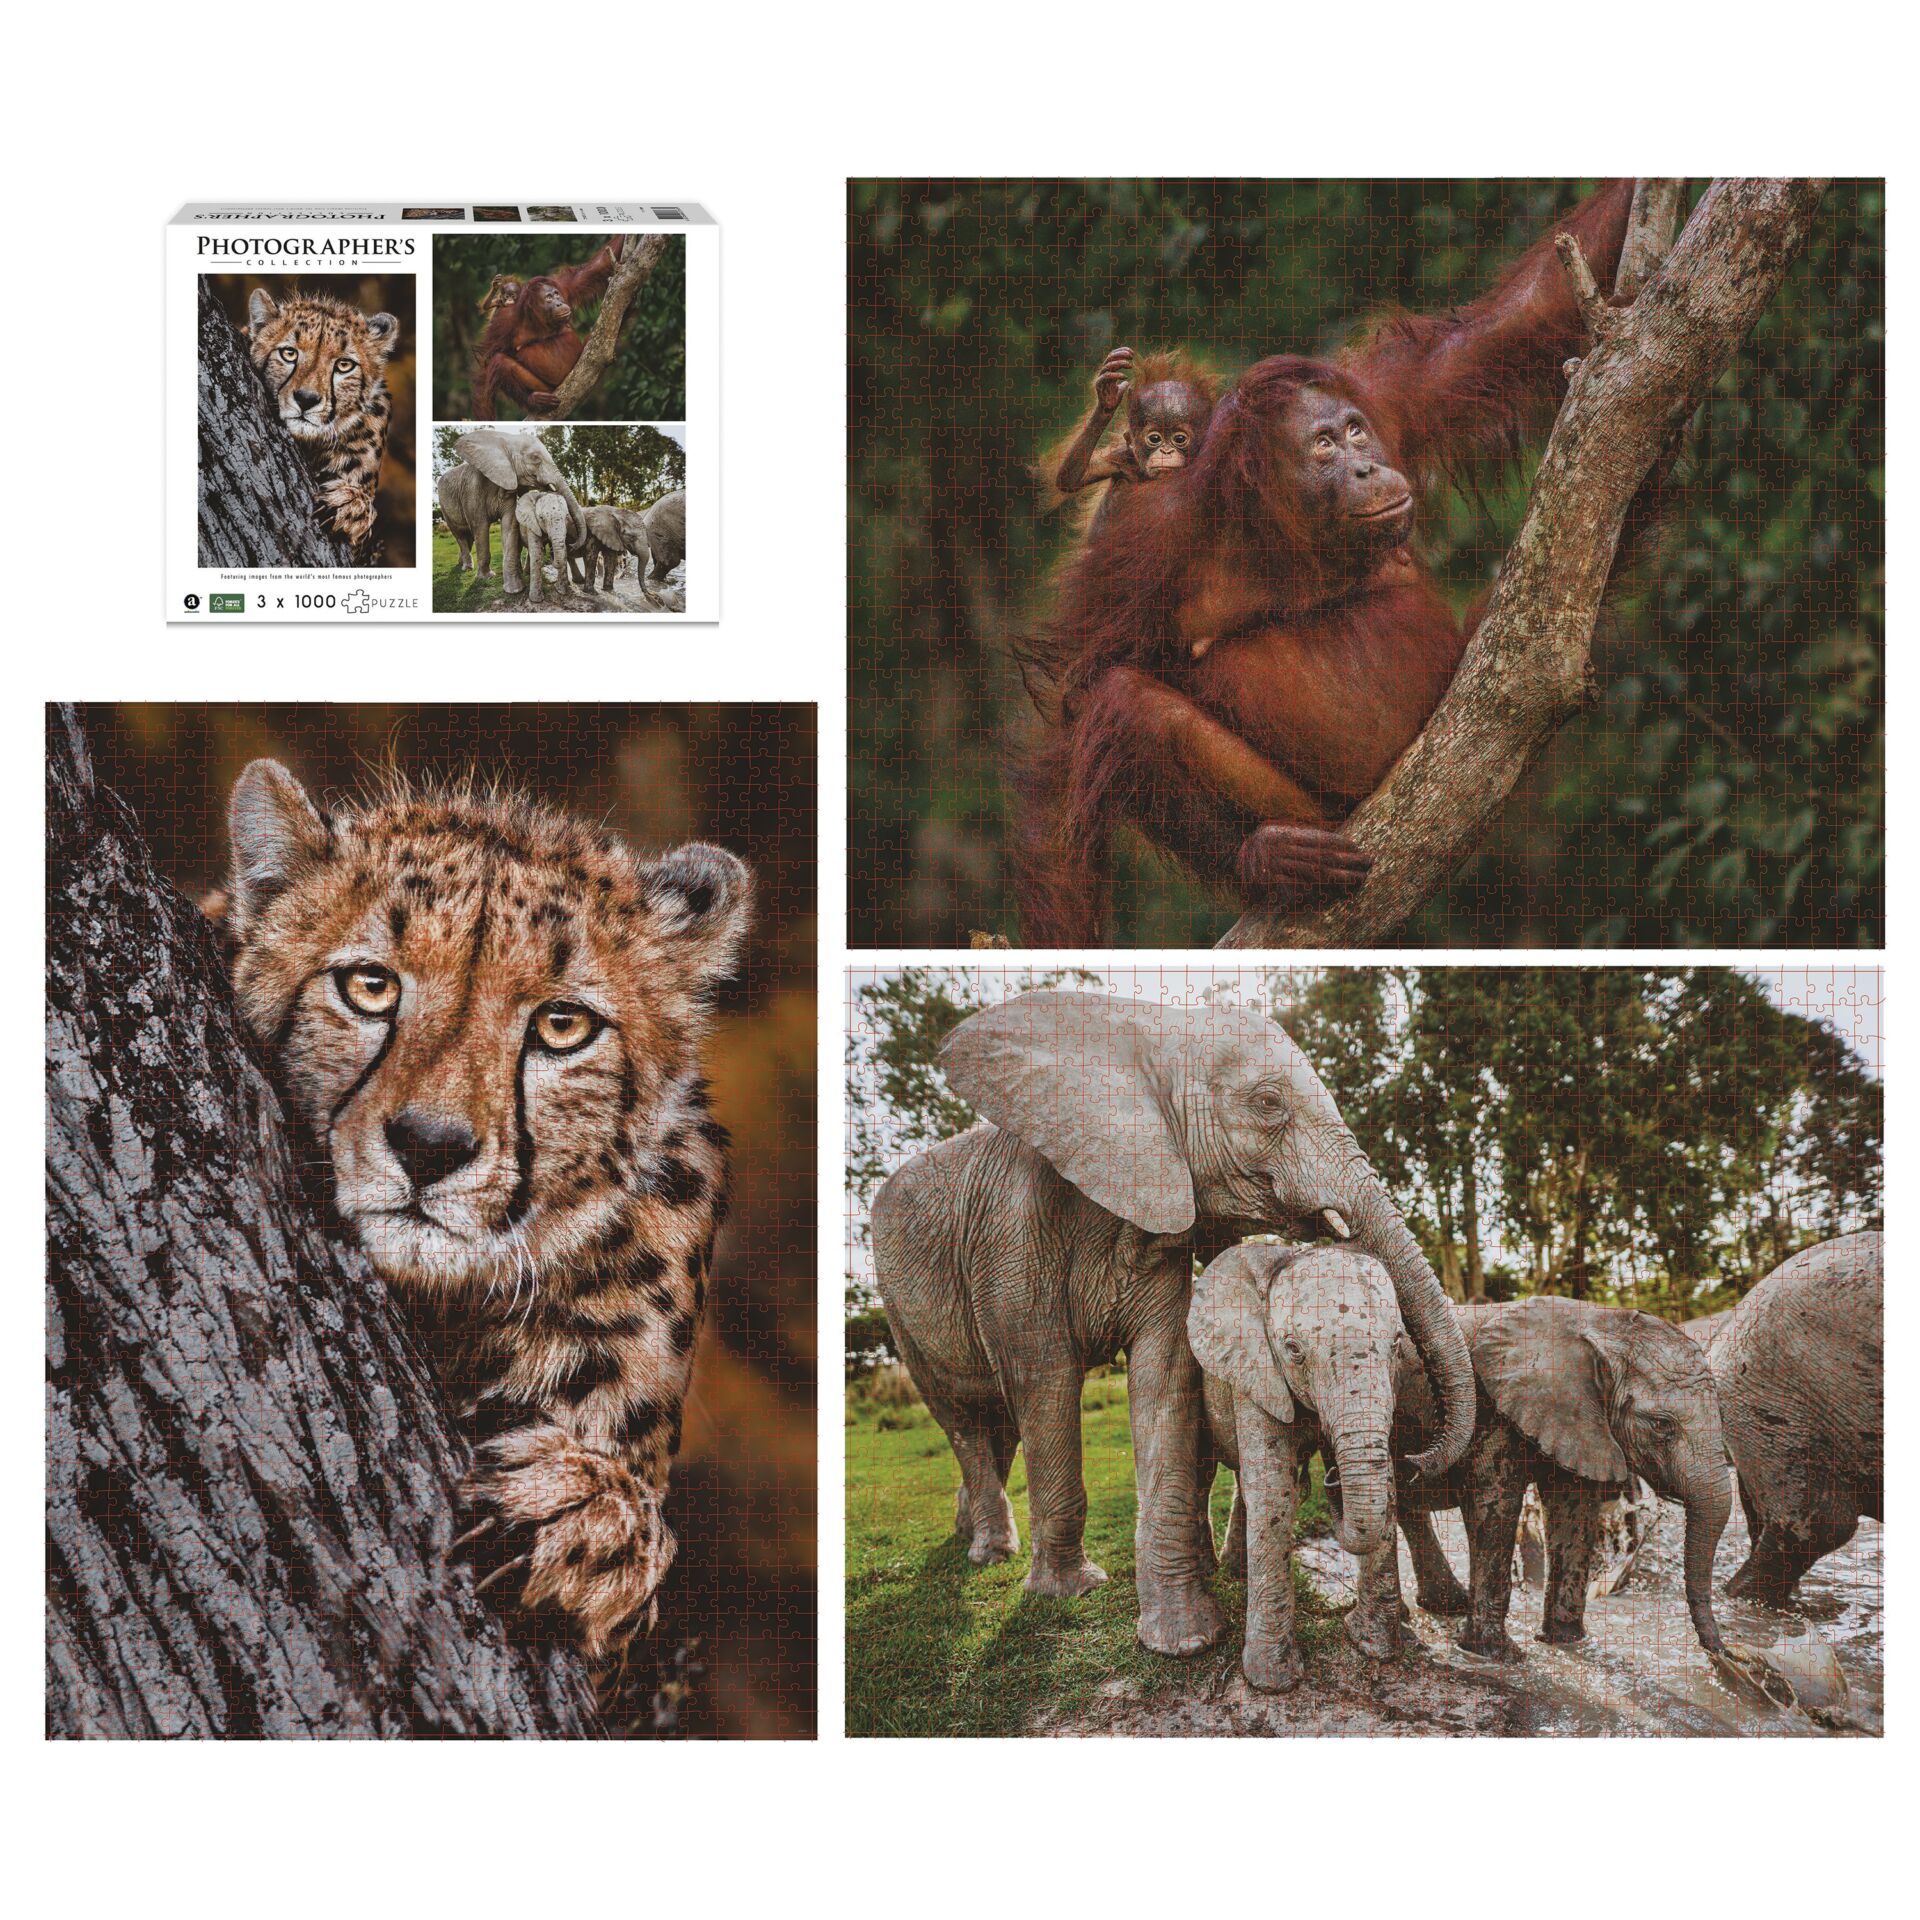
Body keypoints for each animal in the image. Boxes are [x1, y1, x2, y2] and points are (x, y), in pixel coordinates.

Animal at [435, 427, 586, 594]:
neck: (507, 440)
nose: (572, 545)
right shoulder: (472, 488)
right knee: (460, 534)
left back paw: (460, 564)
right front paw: (486, 578)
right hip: (444, 506)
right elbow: (480, 526)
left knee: (468, 537)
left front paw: (514, 589)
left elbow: (510, 525)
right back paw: (467, 568)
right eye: (535, 458)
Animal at [1190, 1242, 1414, 1690]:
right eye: (1293, 1350)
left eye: (1398, 1344)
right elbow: (1274, 1493)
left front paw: (1372, 1647)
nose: (1329, 1477)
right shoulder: (1254, 1372)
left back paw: (1236, 1573)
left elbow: (1388, 1484)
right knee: (1207, 1475)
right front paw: (1274, 1683)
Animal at [1384, 1296, 1731, 1662]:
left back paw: (1445, 1606)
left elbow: (1572, 1509)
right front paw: (1496, 1655)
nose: (1723, 1654)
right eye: (1662, 1425)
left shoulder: (1578, 1422)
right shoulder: (1491, 1409)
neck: (1598, 1323)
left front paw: (1567, 1641)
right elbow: (1494, 1503)